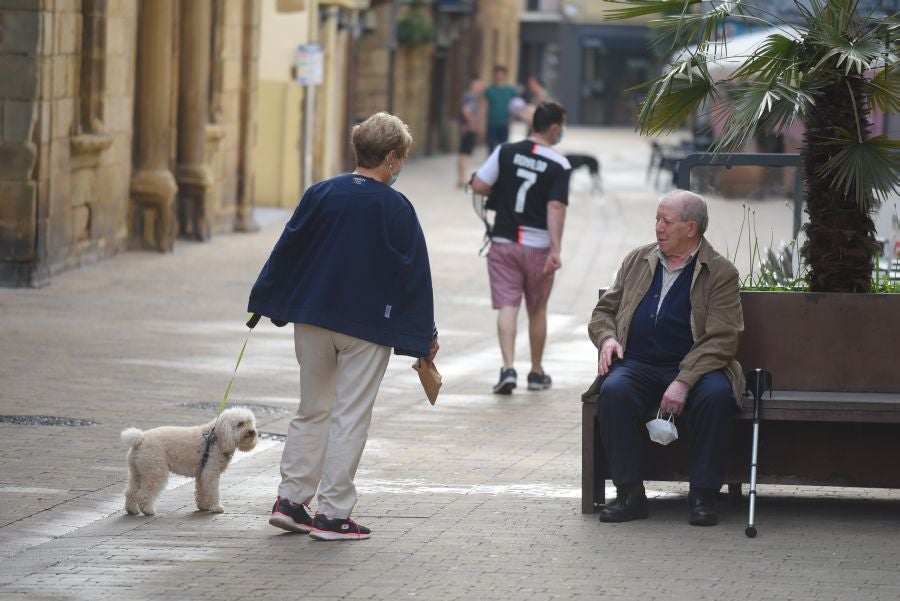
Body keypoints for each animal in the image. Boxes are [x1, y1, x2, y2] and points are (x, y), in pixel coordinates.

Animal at [119, 406, 256, 512]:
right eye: (240, 424)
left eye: (250, 422)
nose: (252, 431)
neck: (217, 438)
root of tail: (140, 438)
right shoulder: (210, 472)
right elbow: (212, 491)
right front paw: (216, 507)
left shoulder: (202, 474)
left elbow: (201, 490)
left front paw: (203, 506)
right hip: (155, 472)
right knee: (144, 494)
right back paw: (148, 510)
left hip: (137, 472)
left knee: (130, 491)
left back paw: (132, 510)